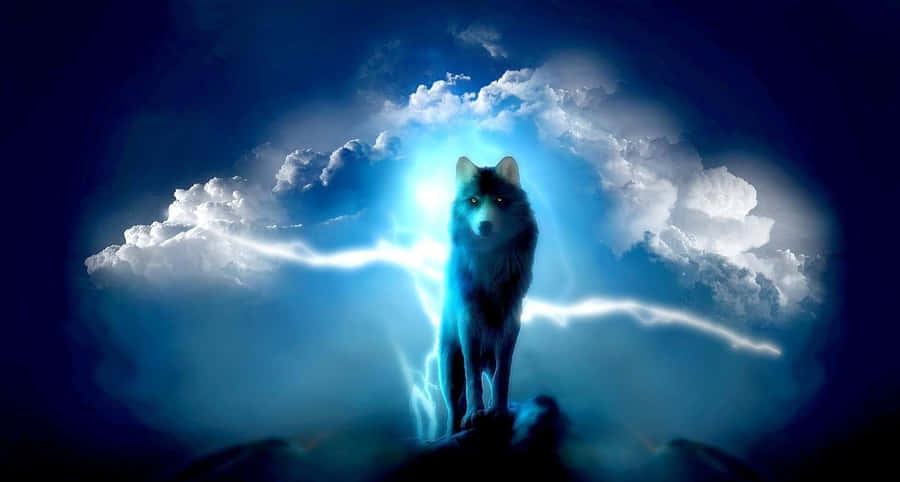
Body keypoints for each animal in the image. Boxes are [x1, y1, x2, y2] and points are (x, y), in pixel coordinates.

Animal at [438, 155, 538, 435]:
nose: (485, 225)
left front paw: (499, 412)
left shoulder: (511, 319)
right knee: (452, 411)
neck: (491, 262)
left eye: (500, 200)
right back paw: (451, 432)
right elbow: (473, 377)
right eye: (474, 201)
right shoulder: (468, 321)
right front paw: (475, 414)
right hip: (449, 374)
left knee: (493, 378)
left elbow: (502, 376)